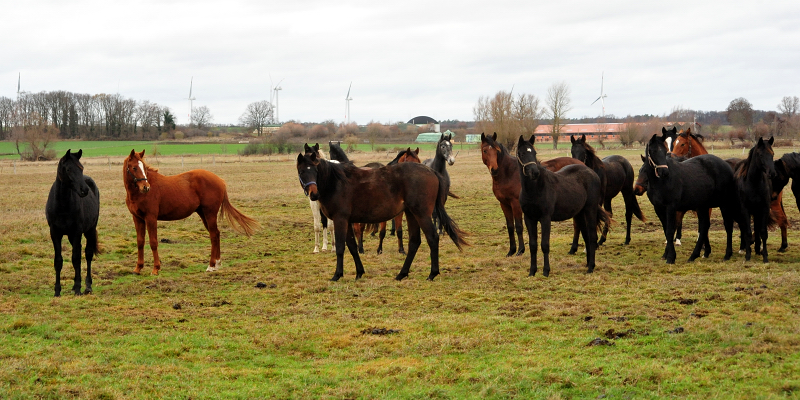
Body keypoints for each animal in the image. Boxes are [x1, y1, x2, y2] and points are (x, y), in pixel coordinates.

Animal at [44, 150, 100, 296]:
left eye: (81, 168)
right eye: (69, 169)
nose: (84, 190)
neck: (62, 205)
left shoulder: (76, 232)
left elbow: (76, 258)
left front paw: (78, 289)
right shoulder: (55, 233)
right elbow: (58, 261)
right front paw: (57, 291)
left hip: (90, 230)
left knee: (87, 254)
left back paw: (87, 286)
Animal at [122, 150, 260, 276]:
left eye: (144, 168)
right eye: (134, 167)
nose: (146, 187)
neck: (137, 194)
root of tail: (220, 180)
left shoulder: (151, 218)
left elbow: (153, 242)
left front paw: (156, 269)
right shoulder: (137, 218)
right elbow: (140, 242)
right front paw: (138, 268)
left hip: (210, 213)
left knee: (213, 235)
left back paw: (211, 265)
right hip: (203, 214)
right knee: (216, 233)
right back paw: (217, 264)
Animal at [296, 148, 466, 282]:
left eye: (315, 170)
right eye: (302, 171)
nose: (313, 194)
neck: (336, 182)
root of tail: (431, 171)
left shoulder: (340, 220)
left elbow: (340, 247)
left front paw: (337, 275)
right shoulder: (347, 221)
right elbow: (352, 246)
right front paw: (359, 272)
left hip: (422, 214)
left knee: (432, 238)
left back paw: (432, 273)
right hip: (411, 214)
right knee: (414, 241)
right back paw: (402, 274)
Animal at [520, 136, 608, 276]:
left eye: (534, 153)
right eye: (522, 153)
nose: (535, 172)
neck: (535, 189)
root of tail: (592, 172)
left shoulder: (545, 218)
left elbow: (545, 244)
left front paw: (546, 271)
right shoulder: (529, 218)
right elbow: (533, 245)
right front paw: (532, 272)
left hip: (590, 210)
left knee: (592, 236)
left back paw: (591, 268)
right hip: (580, 213)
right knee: (586, 236)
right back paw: (588, 263)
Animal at [640, 130, 748, 264]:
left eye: (665, 151)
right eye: (654, 151)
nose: (664, 172)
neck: (660, 183)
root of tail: (728, 166)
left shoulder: (671, 208)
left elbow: (670, 231)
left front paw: (671, 257)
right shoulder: (659, 208)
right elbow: (666, 230)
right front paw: (666, 254)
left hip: (724, 204)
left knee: (728, 225)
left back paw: (727, 254)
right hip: (704, 206)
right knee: (705, 226)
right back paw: (695, 255)